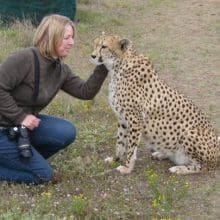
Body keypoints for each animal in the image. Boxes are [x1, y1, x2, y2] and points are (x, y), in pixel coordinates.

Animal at [90, 34, 219, 175]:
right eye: (95, 44)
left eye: (104, 46)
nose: (92, 56)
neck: (119, 66)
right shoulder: (122, 118)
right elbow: (120, 142)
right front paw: (115, 159)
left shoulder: (135, 120)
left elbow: (131, 148)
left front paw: (127, 167)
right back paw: (161, 154)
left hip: (189, 133)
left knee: (203, 167)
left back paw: (179, 169)